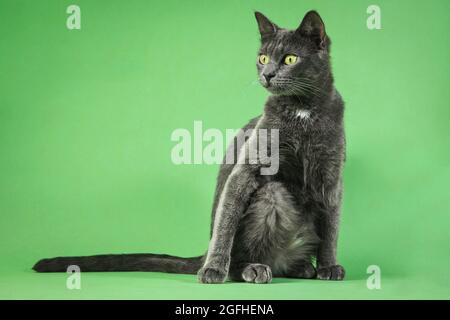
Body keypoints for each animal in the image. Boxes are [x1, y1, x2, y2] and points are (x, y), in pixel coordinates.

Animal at [34, 10, 344, 284]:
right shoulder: (246, 169)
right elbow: (226, 223)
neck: (303, 111)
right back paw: (249, 268)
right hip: (271, 197)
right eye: (263, 58)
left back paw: (302, 267)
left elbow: (332, 228)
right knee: (241, 240)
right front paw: (213, 270)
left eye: (290, 58)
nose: (267, 74)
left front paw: (328, 267)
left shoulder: (331, 176)